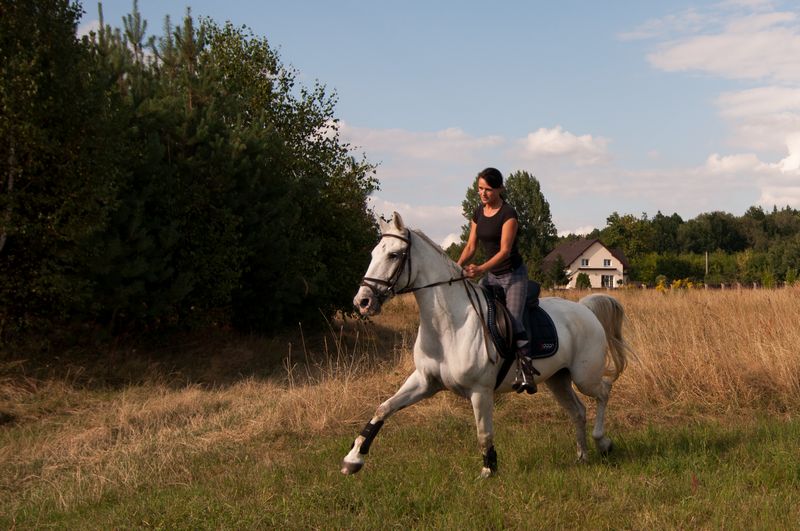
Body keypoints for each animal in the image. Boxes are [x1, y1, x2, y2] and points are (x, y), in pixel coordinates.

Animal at [341, 212, 634, 478]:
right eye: (373, 254)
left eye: (394, 255)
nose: (362, 301)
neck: (449, 325)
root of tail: (585, 309)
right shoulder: (425, 381)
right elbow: (383, 409)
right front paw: (353, 458)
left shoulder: (479, 391)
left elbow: (484, 432)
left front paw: (488, 469)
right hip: (558, 379)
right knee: (578, 411)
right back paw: (582, 455)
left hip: (584, 376)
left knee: (604, 391)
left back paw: (603, 442)